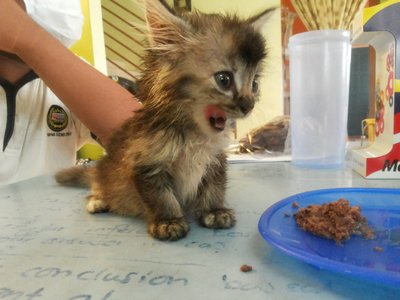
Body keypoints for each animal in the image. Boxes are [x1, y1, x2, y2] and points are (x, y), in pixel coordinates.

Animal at [55, 0, 276, 240]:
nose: (248, 105)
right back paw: (98, 200)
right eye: (224, 80)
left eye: (254, 84)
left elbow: (214, 187)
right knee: (98, 183)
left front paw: (214, 210)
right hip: (105, 171)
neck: (194, 136)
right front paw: (168, 222)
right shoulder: (146, 164)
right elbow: (161, 196)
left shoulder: (215, 161)